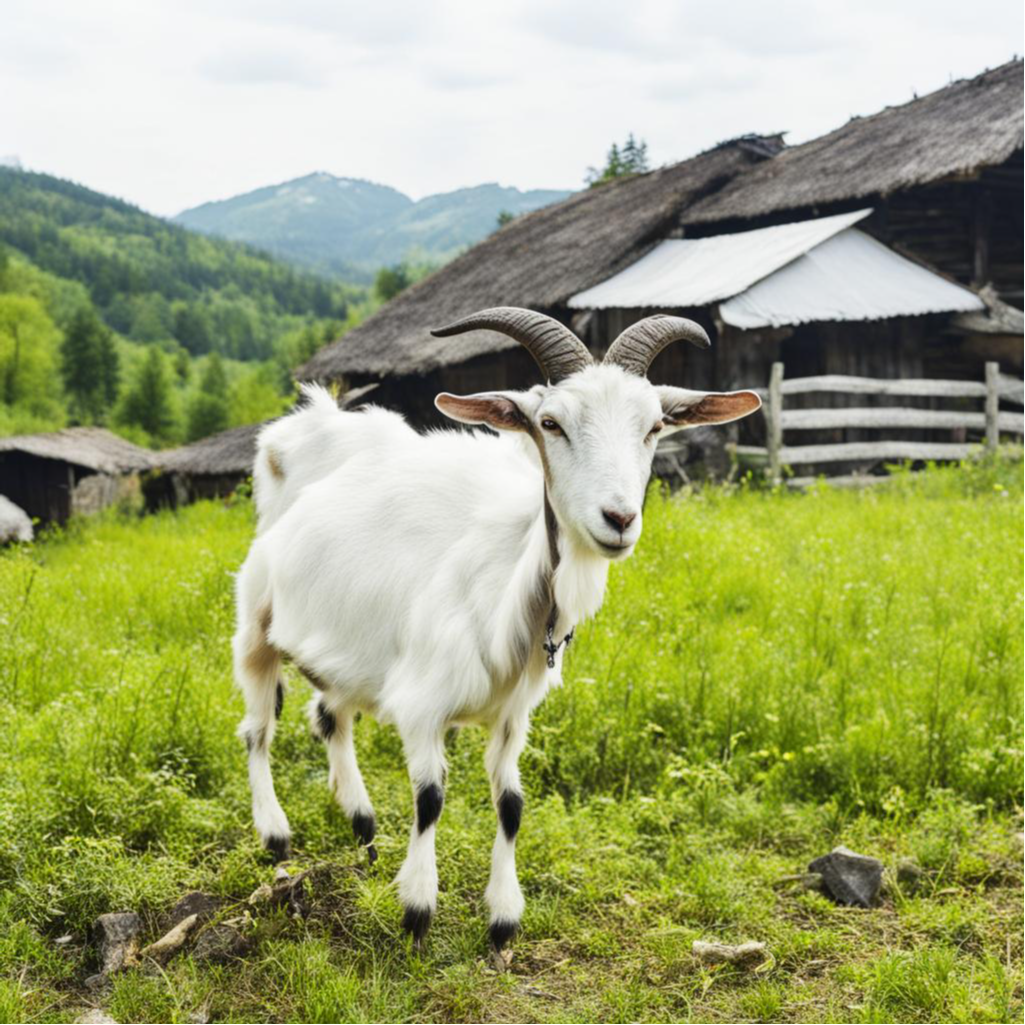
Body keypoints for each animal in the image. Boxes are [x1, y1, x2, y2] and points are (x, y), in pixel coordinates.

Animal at [234, 305, 762, 951]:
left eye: (655, 425)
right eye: (551, 423)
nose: (618, 519)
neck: (504, 599)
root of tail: (301, 433)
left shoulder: (514, 715)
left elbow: (511, 803)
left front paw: (503, 918)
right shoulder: (421, 705)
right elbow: (430, 798)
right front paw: (417, 910)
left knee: (329, 716)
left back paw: (364, 827)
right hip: (255, 623)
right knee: (258, 730)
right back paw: (275, 834)